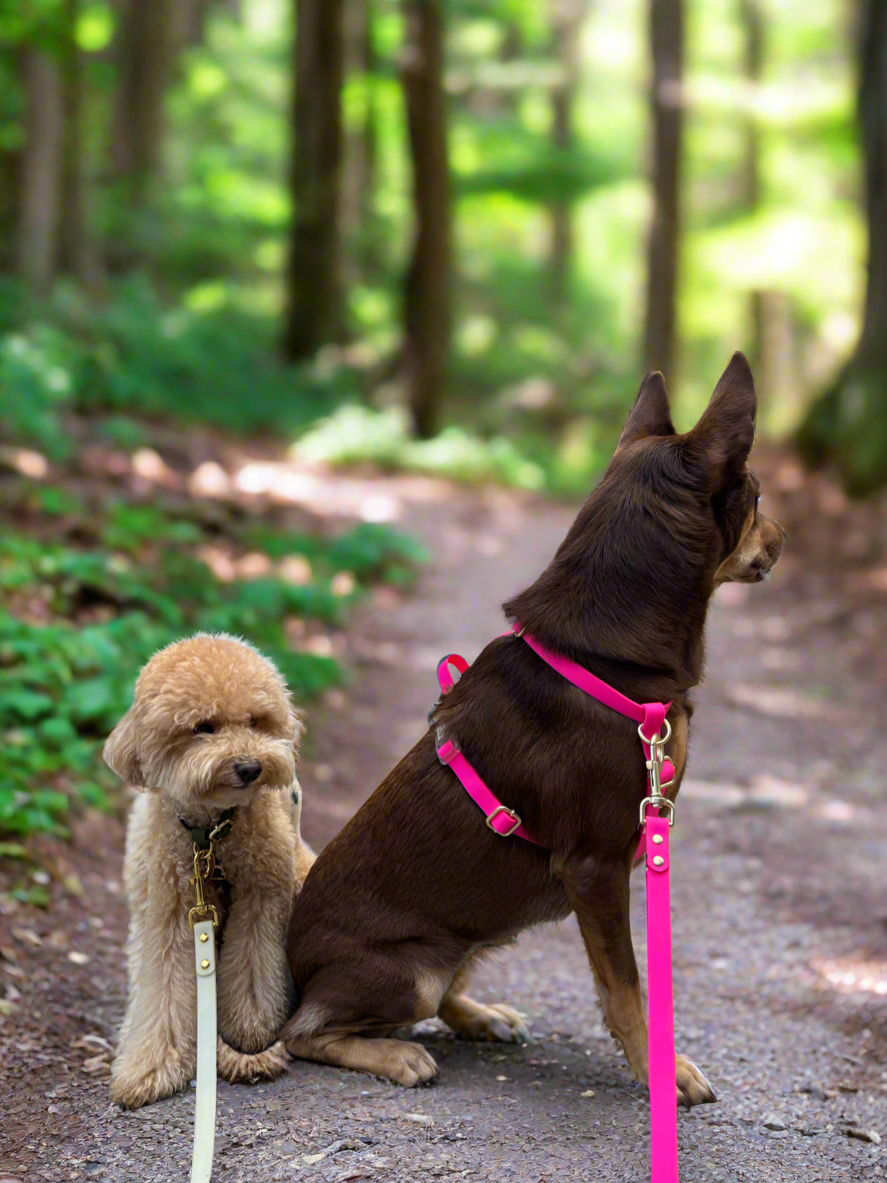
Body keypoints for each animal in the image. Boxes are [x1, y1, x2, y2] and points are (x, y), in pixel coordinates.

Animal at [282, 352, 785, 1107]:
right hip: (410, 967)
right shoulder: (595, 870)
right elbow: (626, 988)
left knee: (443, 997)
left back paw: (481, 1015)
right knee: (309, 1031)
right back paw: (395, 1054)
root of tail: (286, 967)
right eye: (754, 495)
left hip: (482, 927)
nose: (784, 540)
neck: (604, 656)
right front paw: (661, 1072)